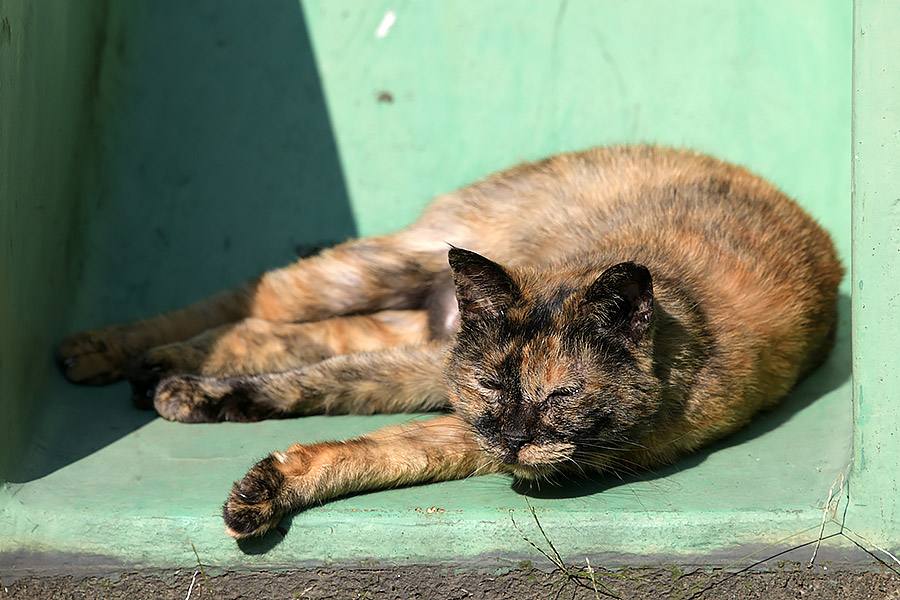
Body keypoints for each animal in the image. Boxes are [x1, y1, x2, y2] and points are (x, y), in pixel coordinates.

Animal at [56, 144, 844, 540]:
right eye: (493, 383)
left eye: (562, 396)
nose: (515, 436)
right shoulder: (453, 389)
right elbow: (326, 381)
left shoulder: (466, 427)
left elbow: (368, 447)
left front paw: (271, 483)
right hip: (387, 265)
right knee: (253, 299)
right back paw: (105, 349)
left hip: (403, 320)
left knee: (274, 331)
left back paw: (163, 372)